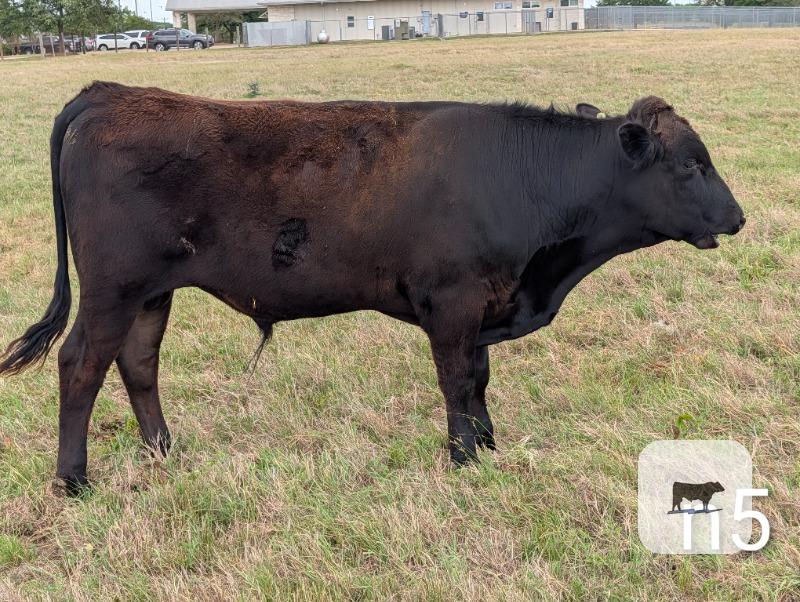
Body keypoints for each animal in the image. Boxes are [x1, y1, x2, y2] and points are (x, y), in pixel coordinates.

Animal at [0, 82, 745, 494]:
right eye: (690, 165)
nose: (738, 218)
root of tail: (109, 92)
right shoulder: (452, 301)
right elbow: (456, 380)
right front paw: (463, 458)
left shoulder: (485, 303)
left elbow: (480, 378)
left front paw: (488, 444)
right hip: (111, 289)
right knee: (81, 364)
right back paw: (73, 480)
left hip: (151, 292)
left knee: (138, 363)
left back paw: (164, 451)